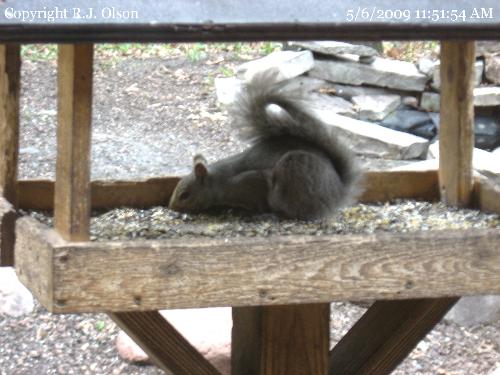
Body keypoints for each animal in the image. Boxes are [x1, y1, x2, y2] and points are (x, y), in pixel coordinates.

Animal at [169, 70, 364, 220]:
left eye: (185, 195)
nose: (172, 208)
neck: (219, 181)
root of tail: (337, 195)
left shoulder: (251, 181)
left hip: (293, 175)